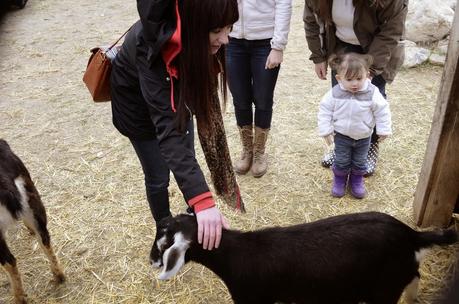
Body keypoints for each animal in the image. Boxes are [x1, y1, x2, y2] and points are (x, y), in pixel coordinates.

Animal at [150, 211, 456, 304]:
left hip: (383, 290)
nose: (152, 260)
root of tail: (411, 235)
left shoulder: (253, 300)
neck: (238, 254)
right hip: (397, 274)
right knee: (415, 275)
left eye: (163, 242)